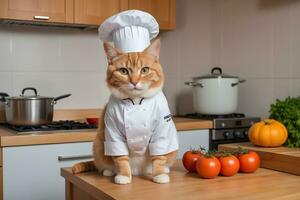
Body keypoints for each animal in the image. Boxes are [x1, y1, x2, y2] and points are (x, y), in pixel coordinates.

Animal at [71, 38, 177, 184]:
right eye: (123, 71)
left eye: (145, 70)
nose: (134, 82)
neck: (136, 103)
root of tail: (139, 172)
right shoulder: (112, 131)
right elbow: (121, 158)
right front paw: (124, 175)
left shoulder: (162, 130)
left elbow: (159, 156)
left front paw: (159, 174)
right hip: (98, 144)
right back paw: (109, 171)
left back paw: (163, 169)